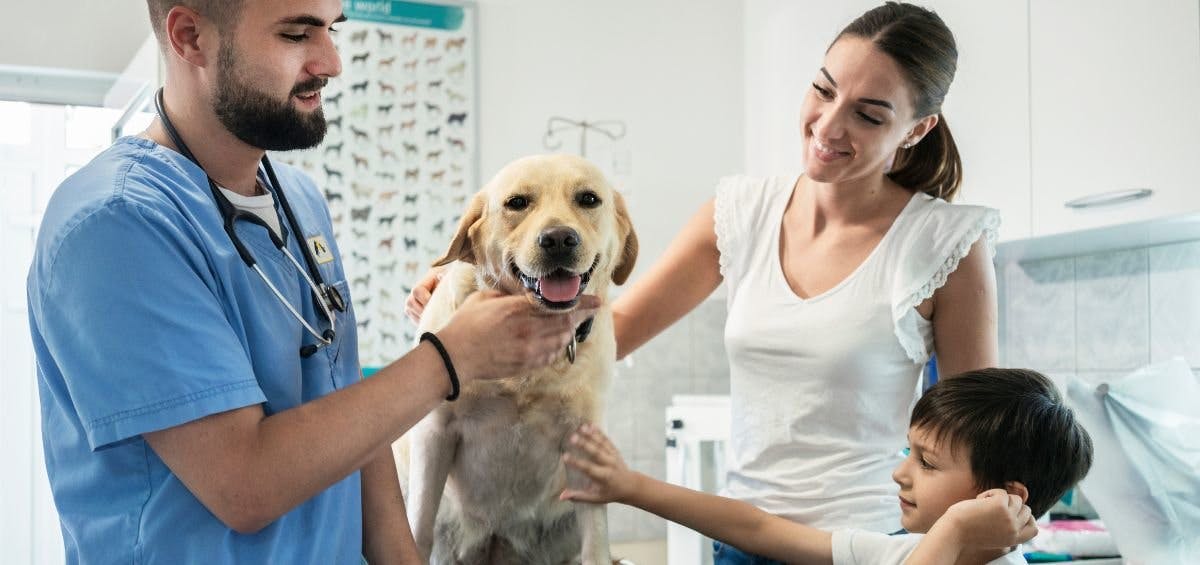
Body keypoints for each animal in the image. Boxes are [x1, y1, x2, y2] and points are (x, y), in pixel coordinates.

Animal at [405, 154, 638, 565]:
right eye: (517, 203)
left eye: (588, 199)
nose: (559, 239)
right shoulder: (433, 432)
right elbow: (417, 528)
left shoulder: (583, 442)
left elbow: (596, 541)